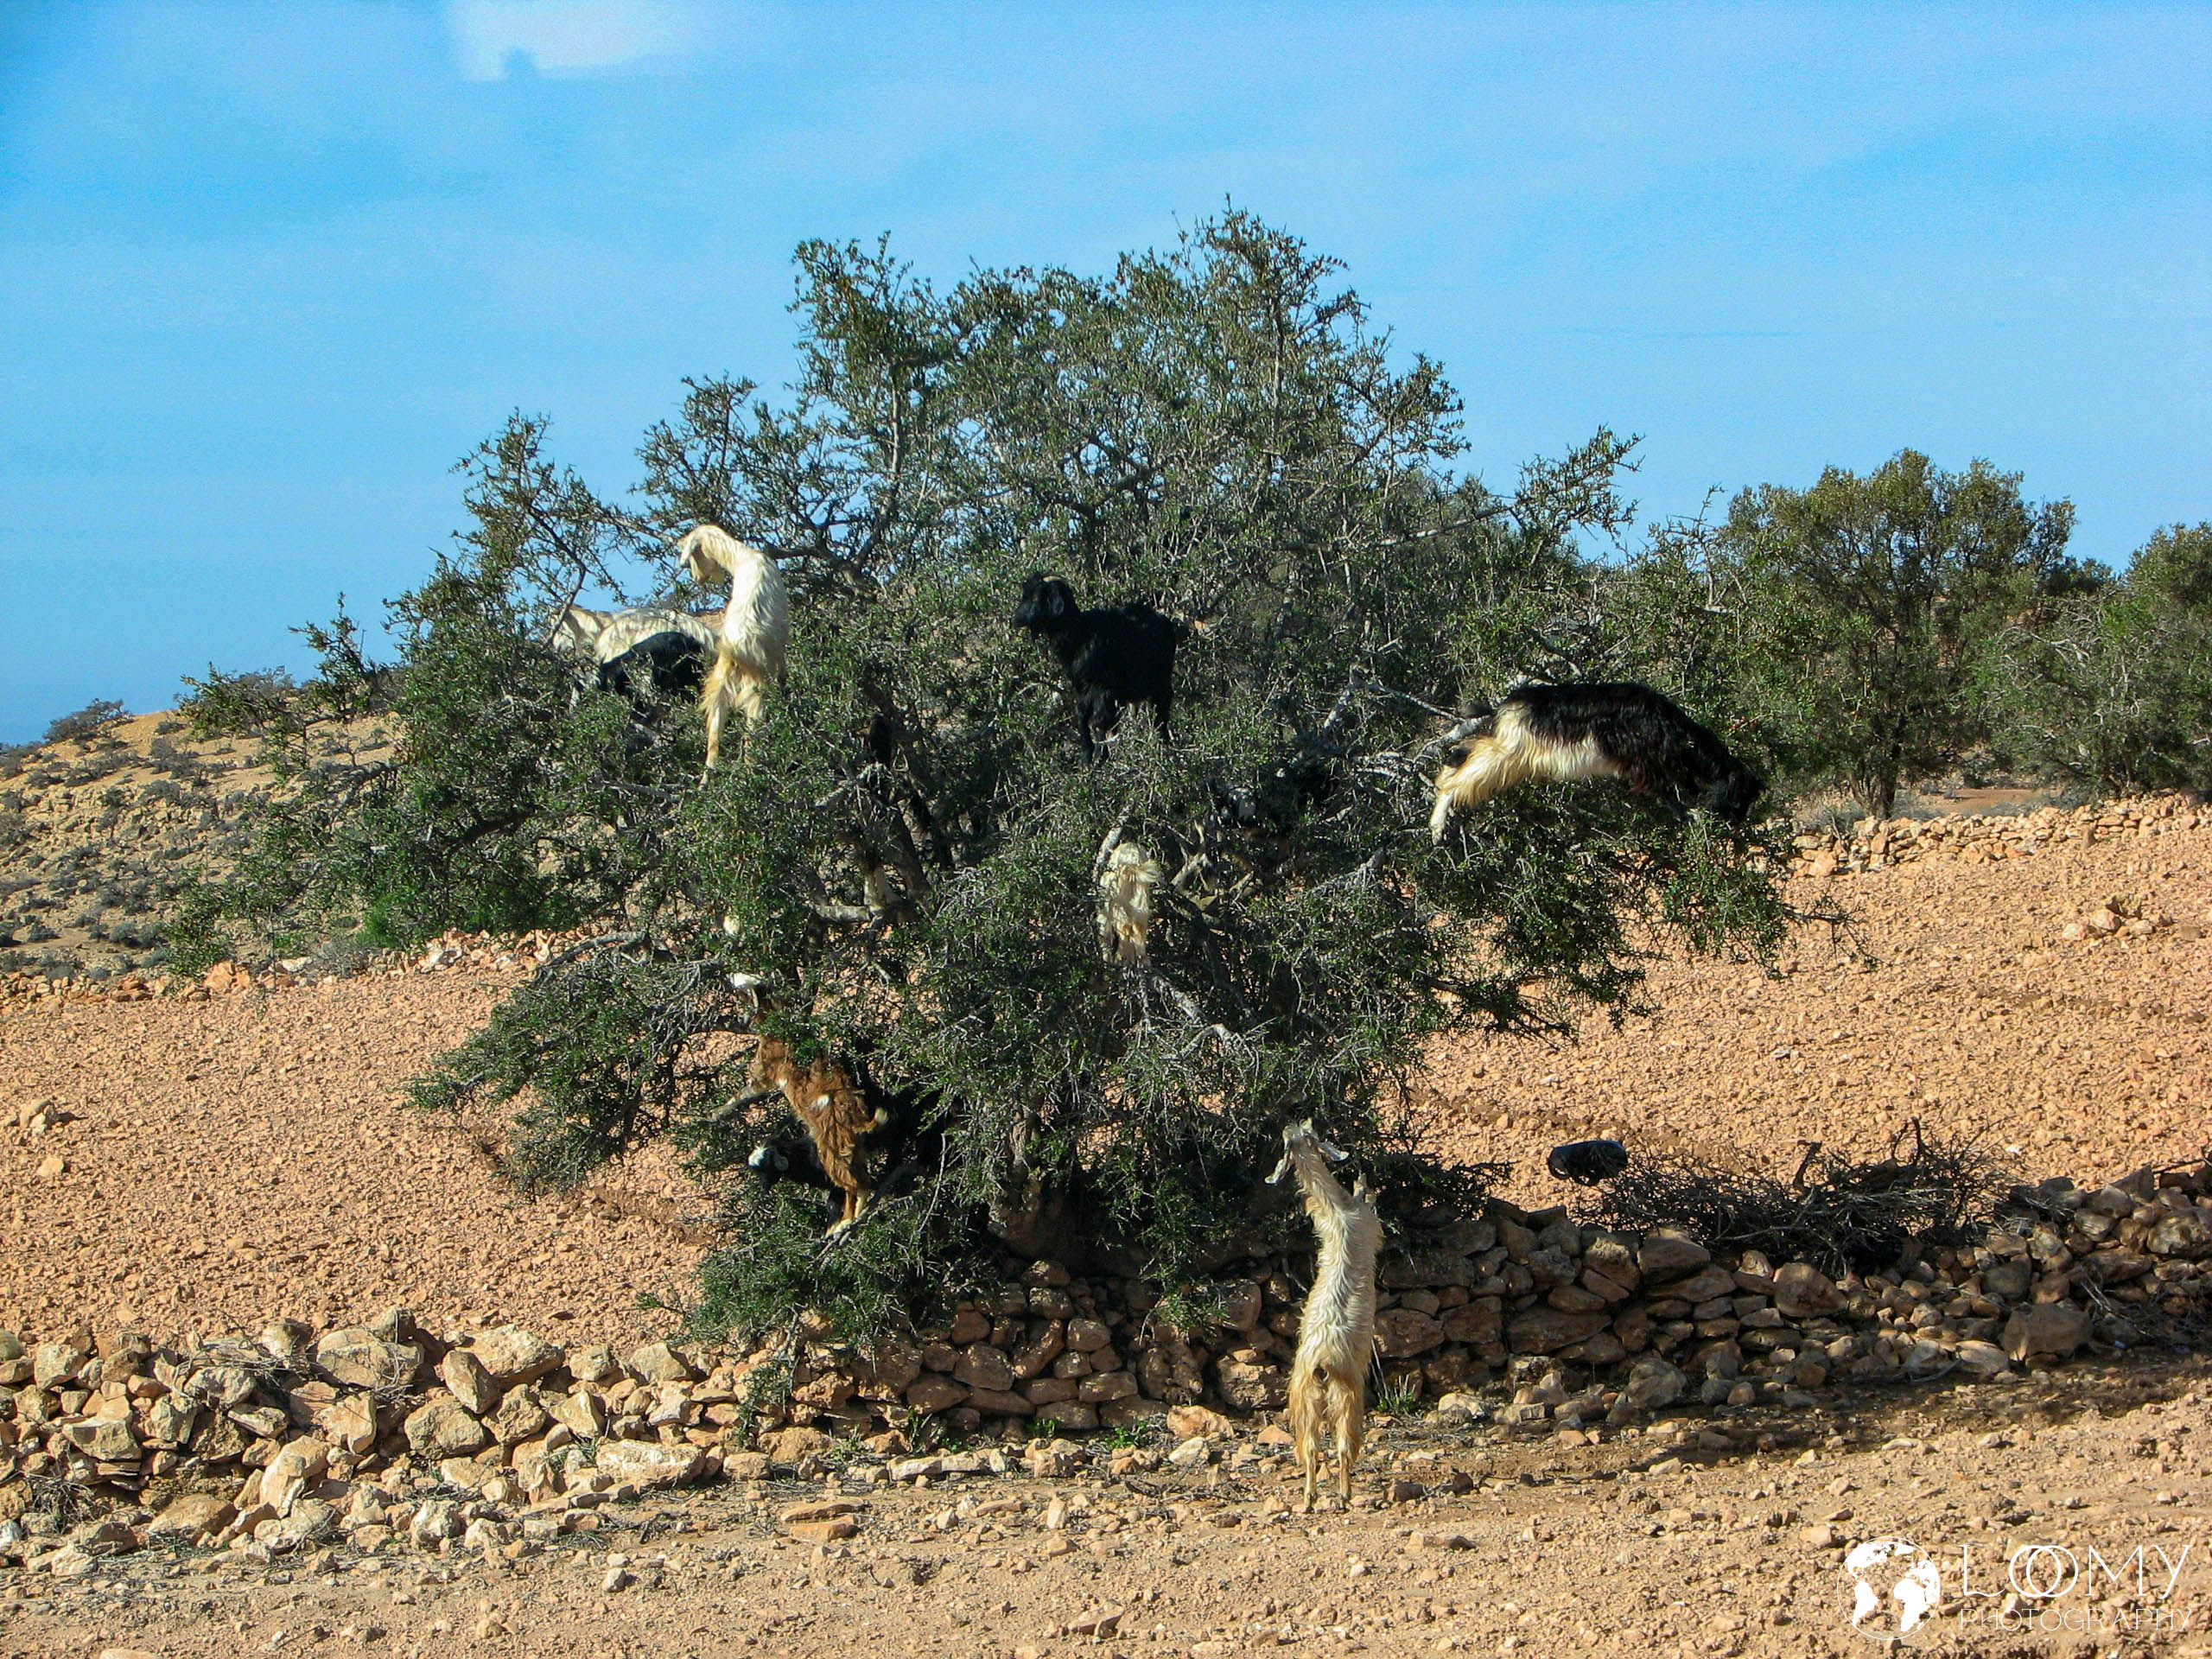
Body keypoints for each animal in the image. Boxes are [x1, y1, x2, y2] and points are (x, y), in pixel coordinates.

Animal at [678, 525, 791, 770]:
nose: (697, 577)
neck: (744, 558)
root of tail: (735, 654)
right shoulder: (780, 645)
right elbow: (784, 676)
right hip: (756, 690)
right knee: (752, 735)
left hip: (718, 688)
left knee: (714, 739)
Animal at [1011, 574, 1178, 762]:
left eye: (1036, 597)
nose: (1015, 619)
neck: (1081, 634)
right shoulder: (1081, 685)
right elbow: (1082, 714)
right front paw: (1086, 755)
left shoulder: (1102, 686)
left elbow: (1100, 719)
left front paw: (1100, 756)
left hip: (1161, 680)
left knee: (1161, 707)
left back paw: (1162, 743)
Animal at [1269, 1119, 1382, 1512]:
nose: (1289, 1126)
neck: (1339, 1213)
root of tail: (1321, 1363)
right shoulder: (1367, 1222)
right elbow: (1368, 1199)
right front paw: (1364, 1180)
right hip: (1347, 1395)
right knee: (1345, 1447)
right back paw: (1344, 1496)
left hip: (1302, 1400)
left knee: (1309, 1450)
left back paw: (1309, 1499)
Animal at [1429, 681, 1763, 841]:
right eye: (1740, 795)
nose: (1739, 820)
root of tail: (1507, 705)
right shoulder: (1646, 762)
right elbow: (1666, 791)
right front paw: (1689, 814)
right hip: (1513, 749)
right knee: (1466, 770)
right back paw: (1437, 823)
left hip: (1509, 748)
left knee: (1461, 752)